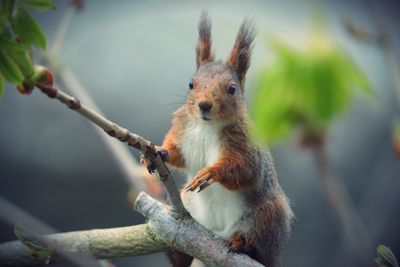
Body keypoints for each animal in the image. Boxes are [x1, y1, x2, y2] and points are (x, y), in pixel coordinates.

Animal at [142, 12, 292, 267]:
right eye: (191, 84)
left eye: (232, 89)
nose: (204, 105)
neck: (206, 127)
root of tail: (218, 232)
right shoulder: (184, 132)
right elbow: (179, 155)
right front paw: (160, 152)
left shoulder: (246, 146)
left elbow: (245, 170)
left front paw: (211, 172)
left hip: (267, 216)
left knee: (260, 245)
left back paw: (244, 244)